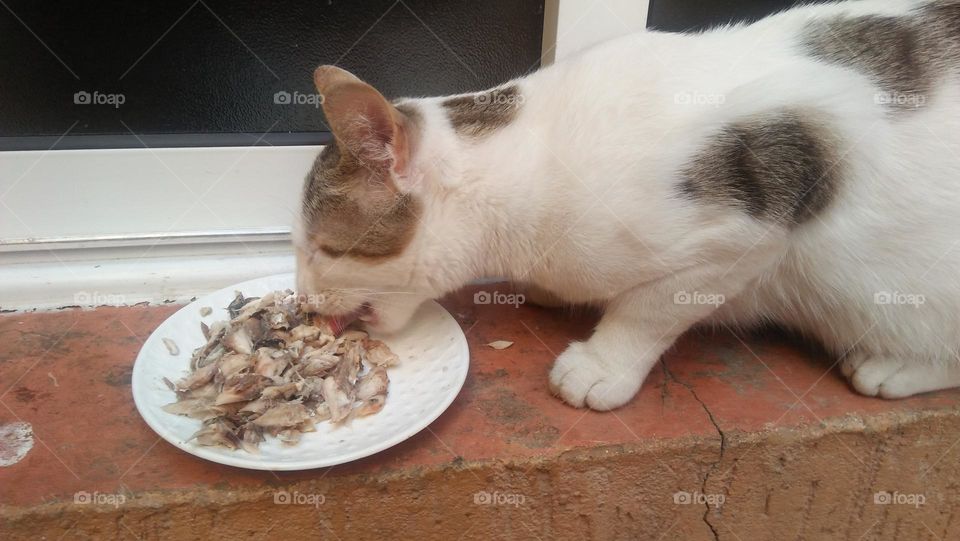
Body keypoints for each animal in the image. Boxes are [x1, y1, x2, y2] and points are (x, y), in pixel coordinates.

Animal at [292, 0, 960, 410]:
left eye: (322, 247)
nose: (300, 297)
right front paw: (551, 292)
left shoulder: (755, 214)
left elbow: (650, 309)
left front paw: (601, 366)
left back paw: (893, 366)